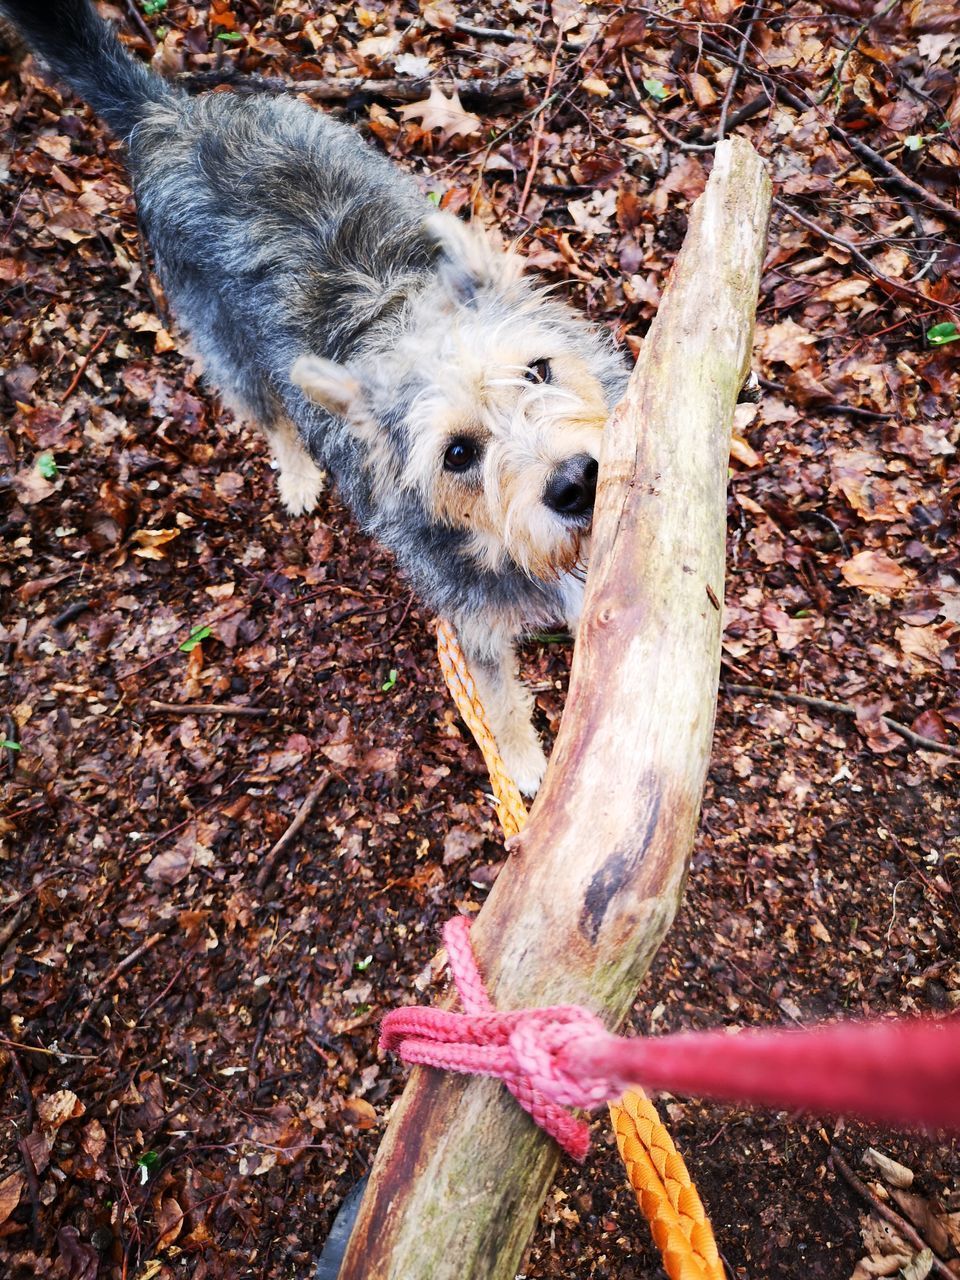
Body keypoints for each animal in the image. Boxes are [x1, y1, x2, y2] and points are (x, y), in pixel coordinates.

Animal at [9, 0, 640, 793]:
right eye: (458, 454)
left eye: (538, 371)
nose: (576, 483)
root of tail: (171, 114)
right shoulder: (470, 626)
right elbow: (499, 703)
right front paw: (525, 768)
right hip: (227, 346)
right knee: (271, 415)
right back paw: (301, 476)